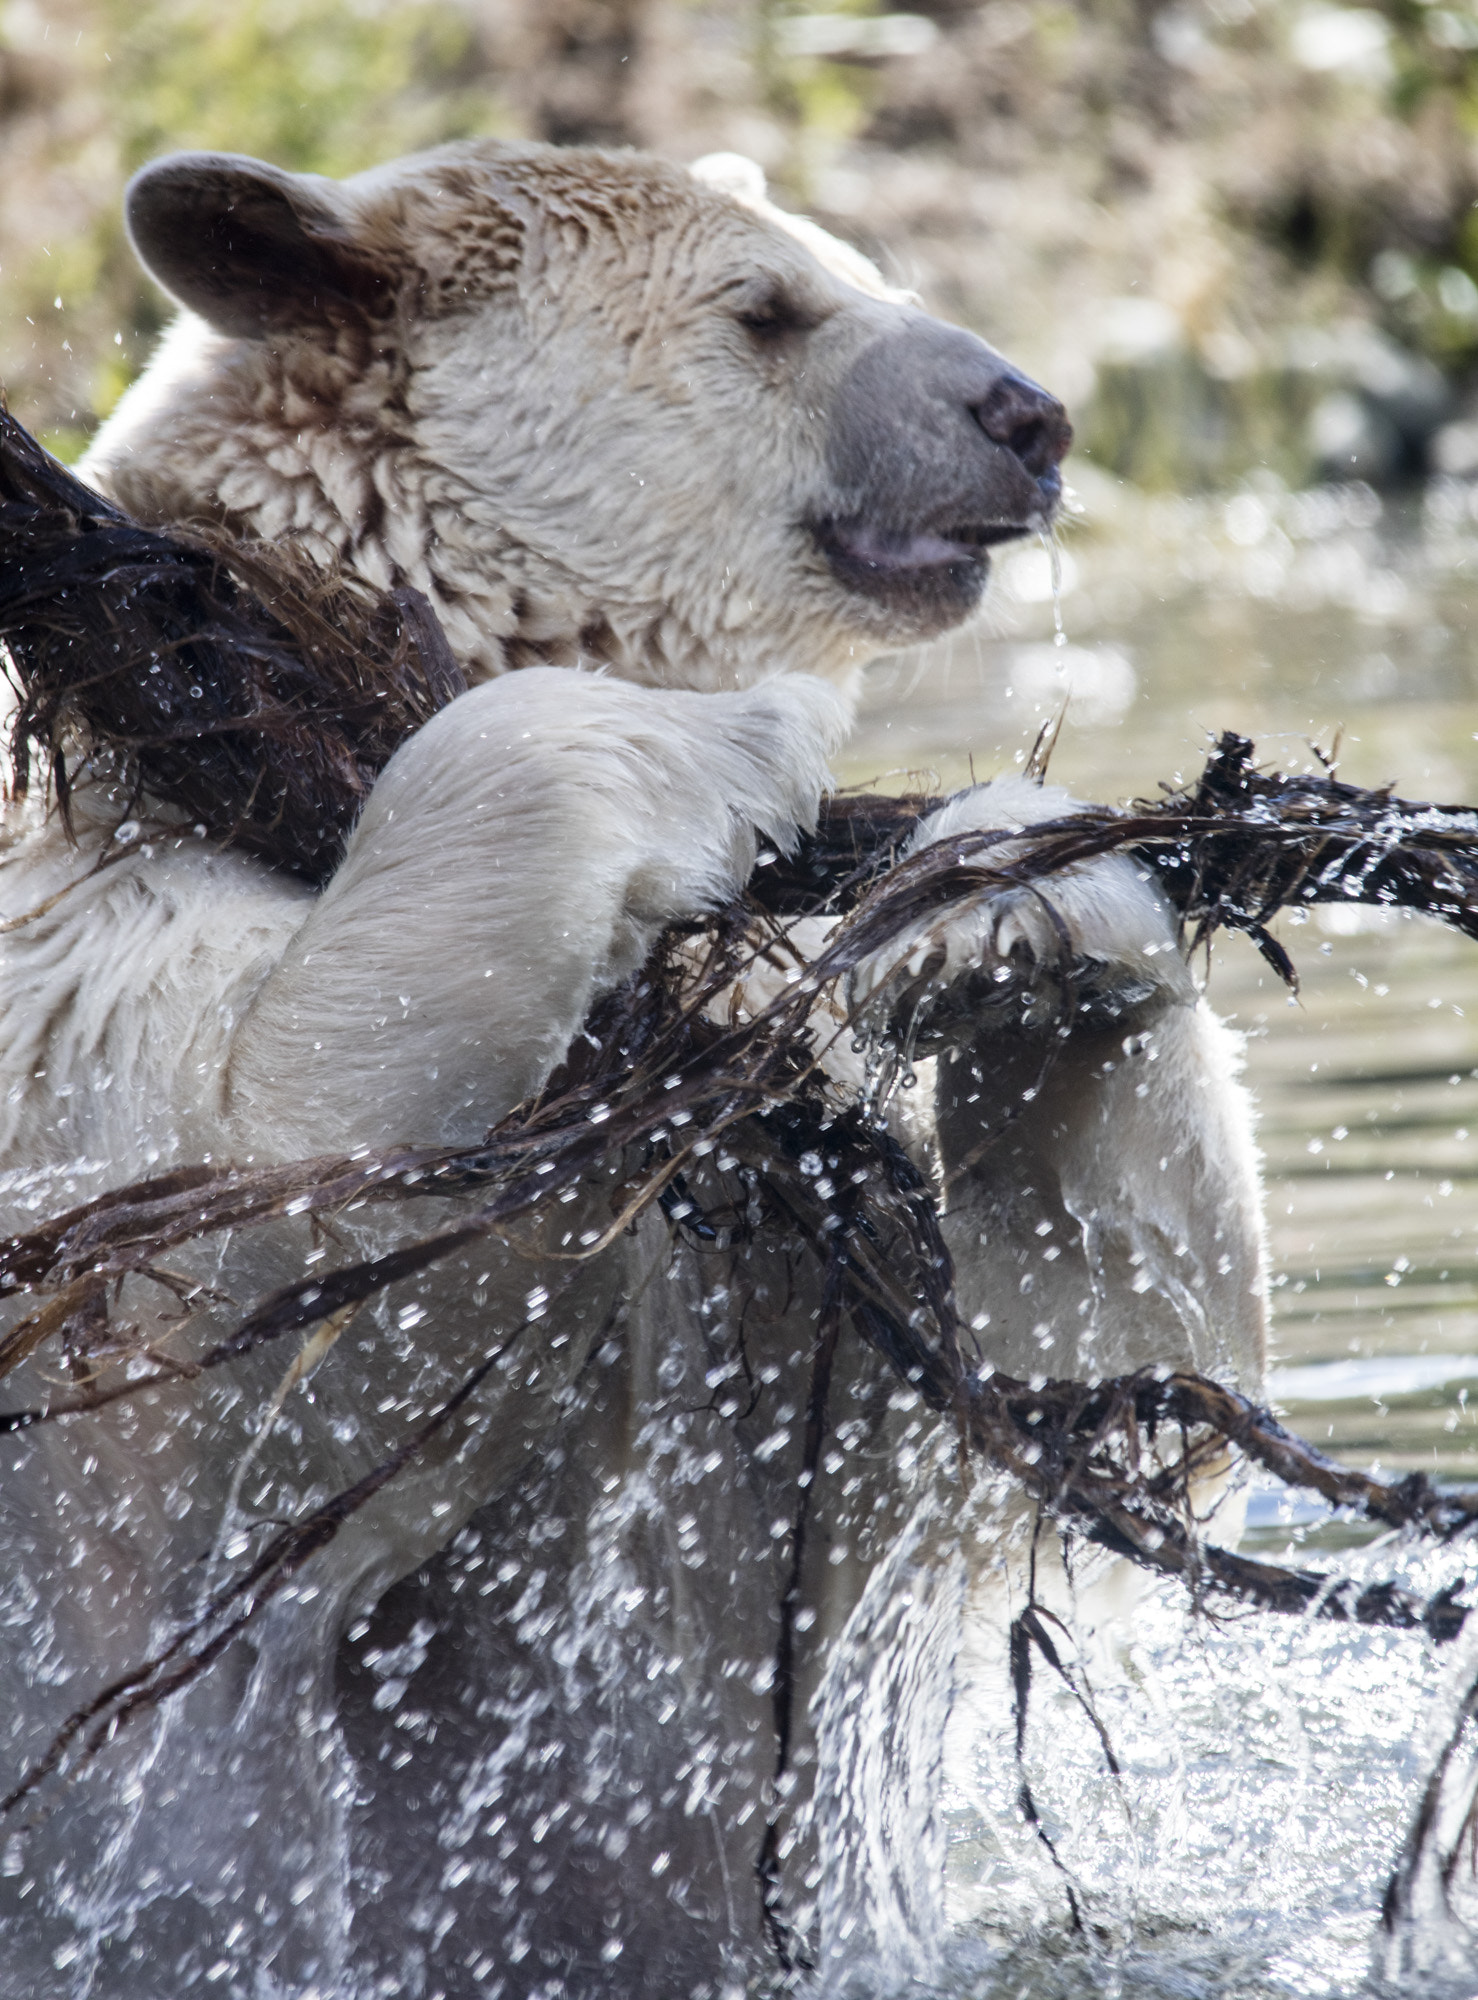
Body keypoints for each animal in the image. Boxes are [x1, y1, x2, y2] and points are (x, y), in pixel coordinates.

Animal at [0, 140, 1267, 1999]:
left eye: (854, 257)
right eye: (769, 307)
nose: (1024, 415)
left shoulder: (760, 1255)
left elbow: (1073, 1354)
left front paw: (1005, 906)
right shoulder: (84, 988)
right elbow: (260, 1213)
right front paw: (744, 734)